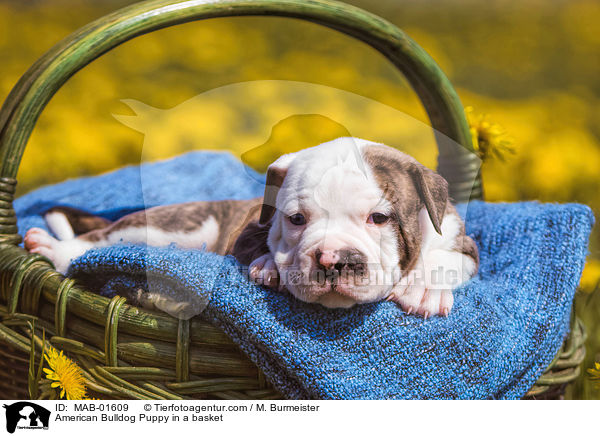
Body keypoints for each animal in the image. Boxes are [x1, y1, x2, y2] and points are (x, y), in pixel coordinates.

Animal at [23, 138, 478, 318]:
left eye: (379, 218)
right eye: (296, 219)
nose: (332, 260)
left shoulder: (464, 244)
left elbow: (444, 256)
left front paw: (423, 287)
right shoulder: (246, 228)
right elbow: (258, 247)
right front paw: (270, 267)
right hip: (172, 228)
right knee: (94, 241)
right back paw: (53, 248)